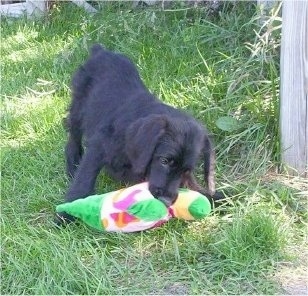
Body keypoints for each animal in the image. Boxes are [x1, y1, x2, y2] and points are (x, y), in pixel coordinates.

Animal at [57, 45, 217, 223]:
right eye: (164, 161)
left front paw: (217, 196)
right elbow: (84, 179)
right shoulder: (98, 148)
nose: (166, 201)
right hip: (79, 105)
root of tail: (102, 51)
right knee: (73, 136)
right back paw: (72, 164)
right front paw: (67, 212)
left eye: (186, 171)